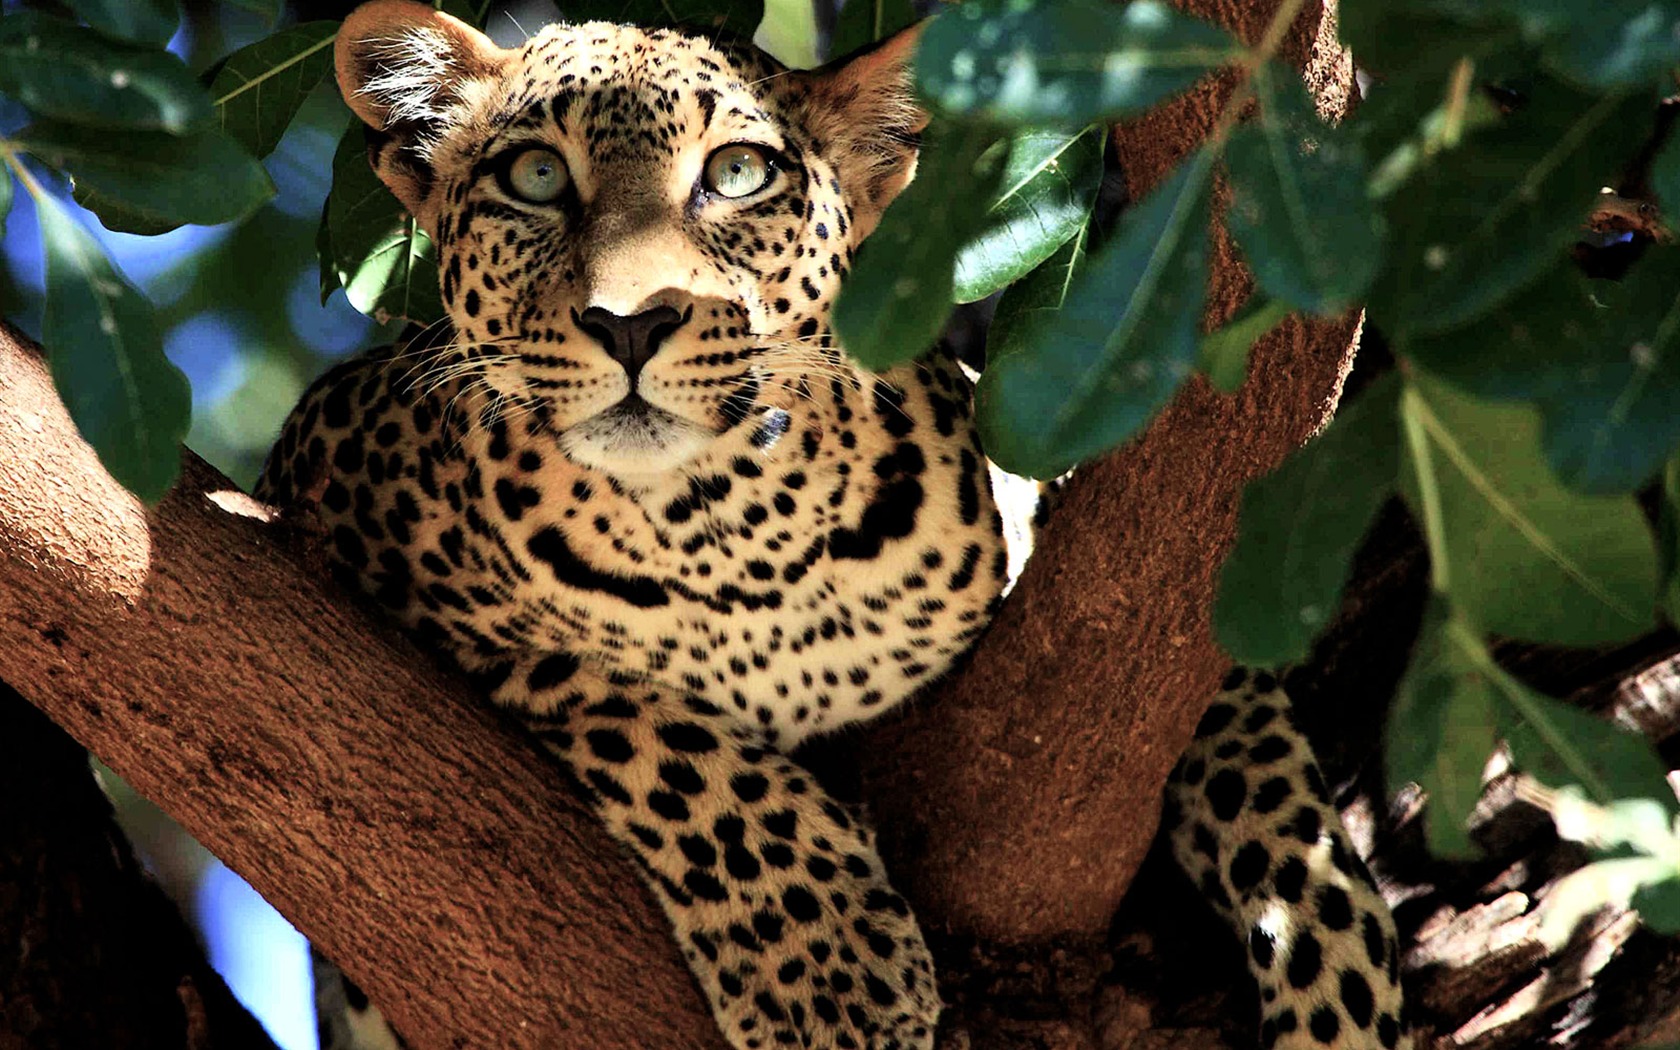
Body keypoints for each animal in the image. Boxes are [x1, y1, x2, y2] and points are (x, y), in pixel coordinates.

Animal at [255, 4, 1411, 1041]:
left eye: (736, 174)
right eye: (535, 178)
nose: (630, 322)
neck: (727, 536)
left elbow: (1264, 780)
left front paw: (1341, 999)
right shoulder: (321, 487)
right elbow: (657, 733)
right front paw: (834, 968)